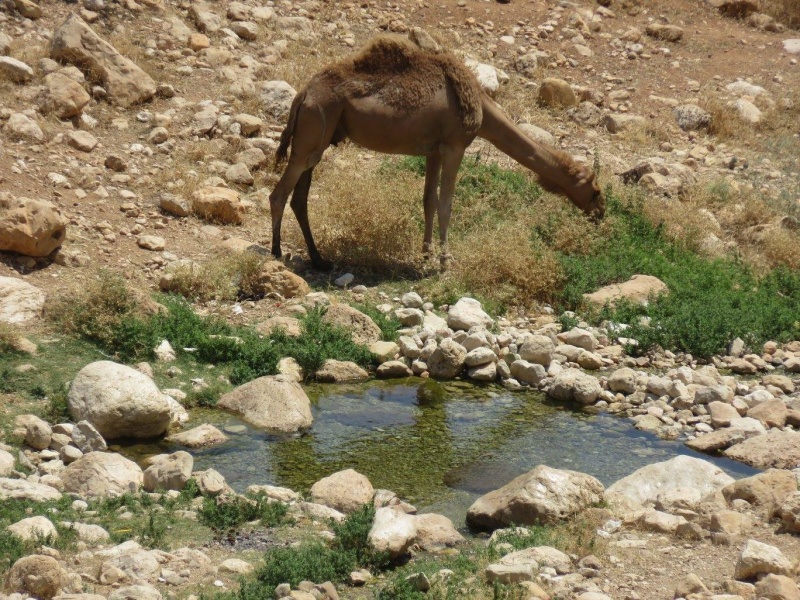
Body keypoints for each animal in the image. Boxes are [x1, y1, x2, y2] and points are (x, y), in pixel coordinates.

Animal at [270, 36, 608, 270]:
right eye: (595, 190)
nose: (601, 214)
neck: (481, 106)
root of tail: (302, 95)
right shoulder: (455, 146)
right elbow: (446, 203)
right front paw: (446, 261)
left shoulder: (432, 150)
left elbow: (428, 201)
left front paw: (426, 255)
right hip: (314, 126)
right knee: (279, 193)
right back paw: (275, 253)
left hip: (322, 136)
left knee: (300, 197)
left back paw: (319, 260)